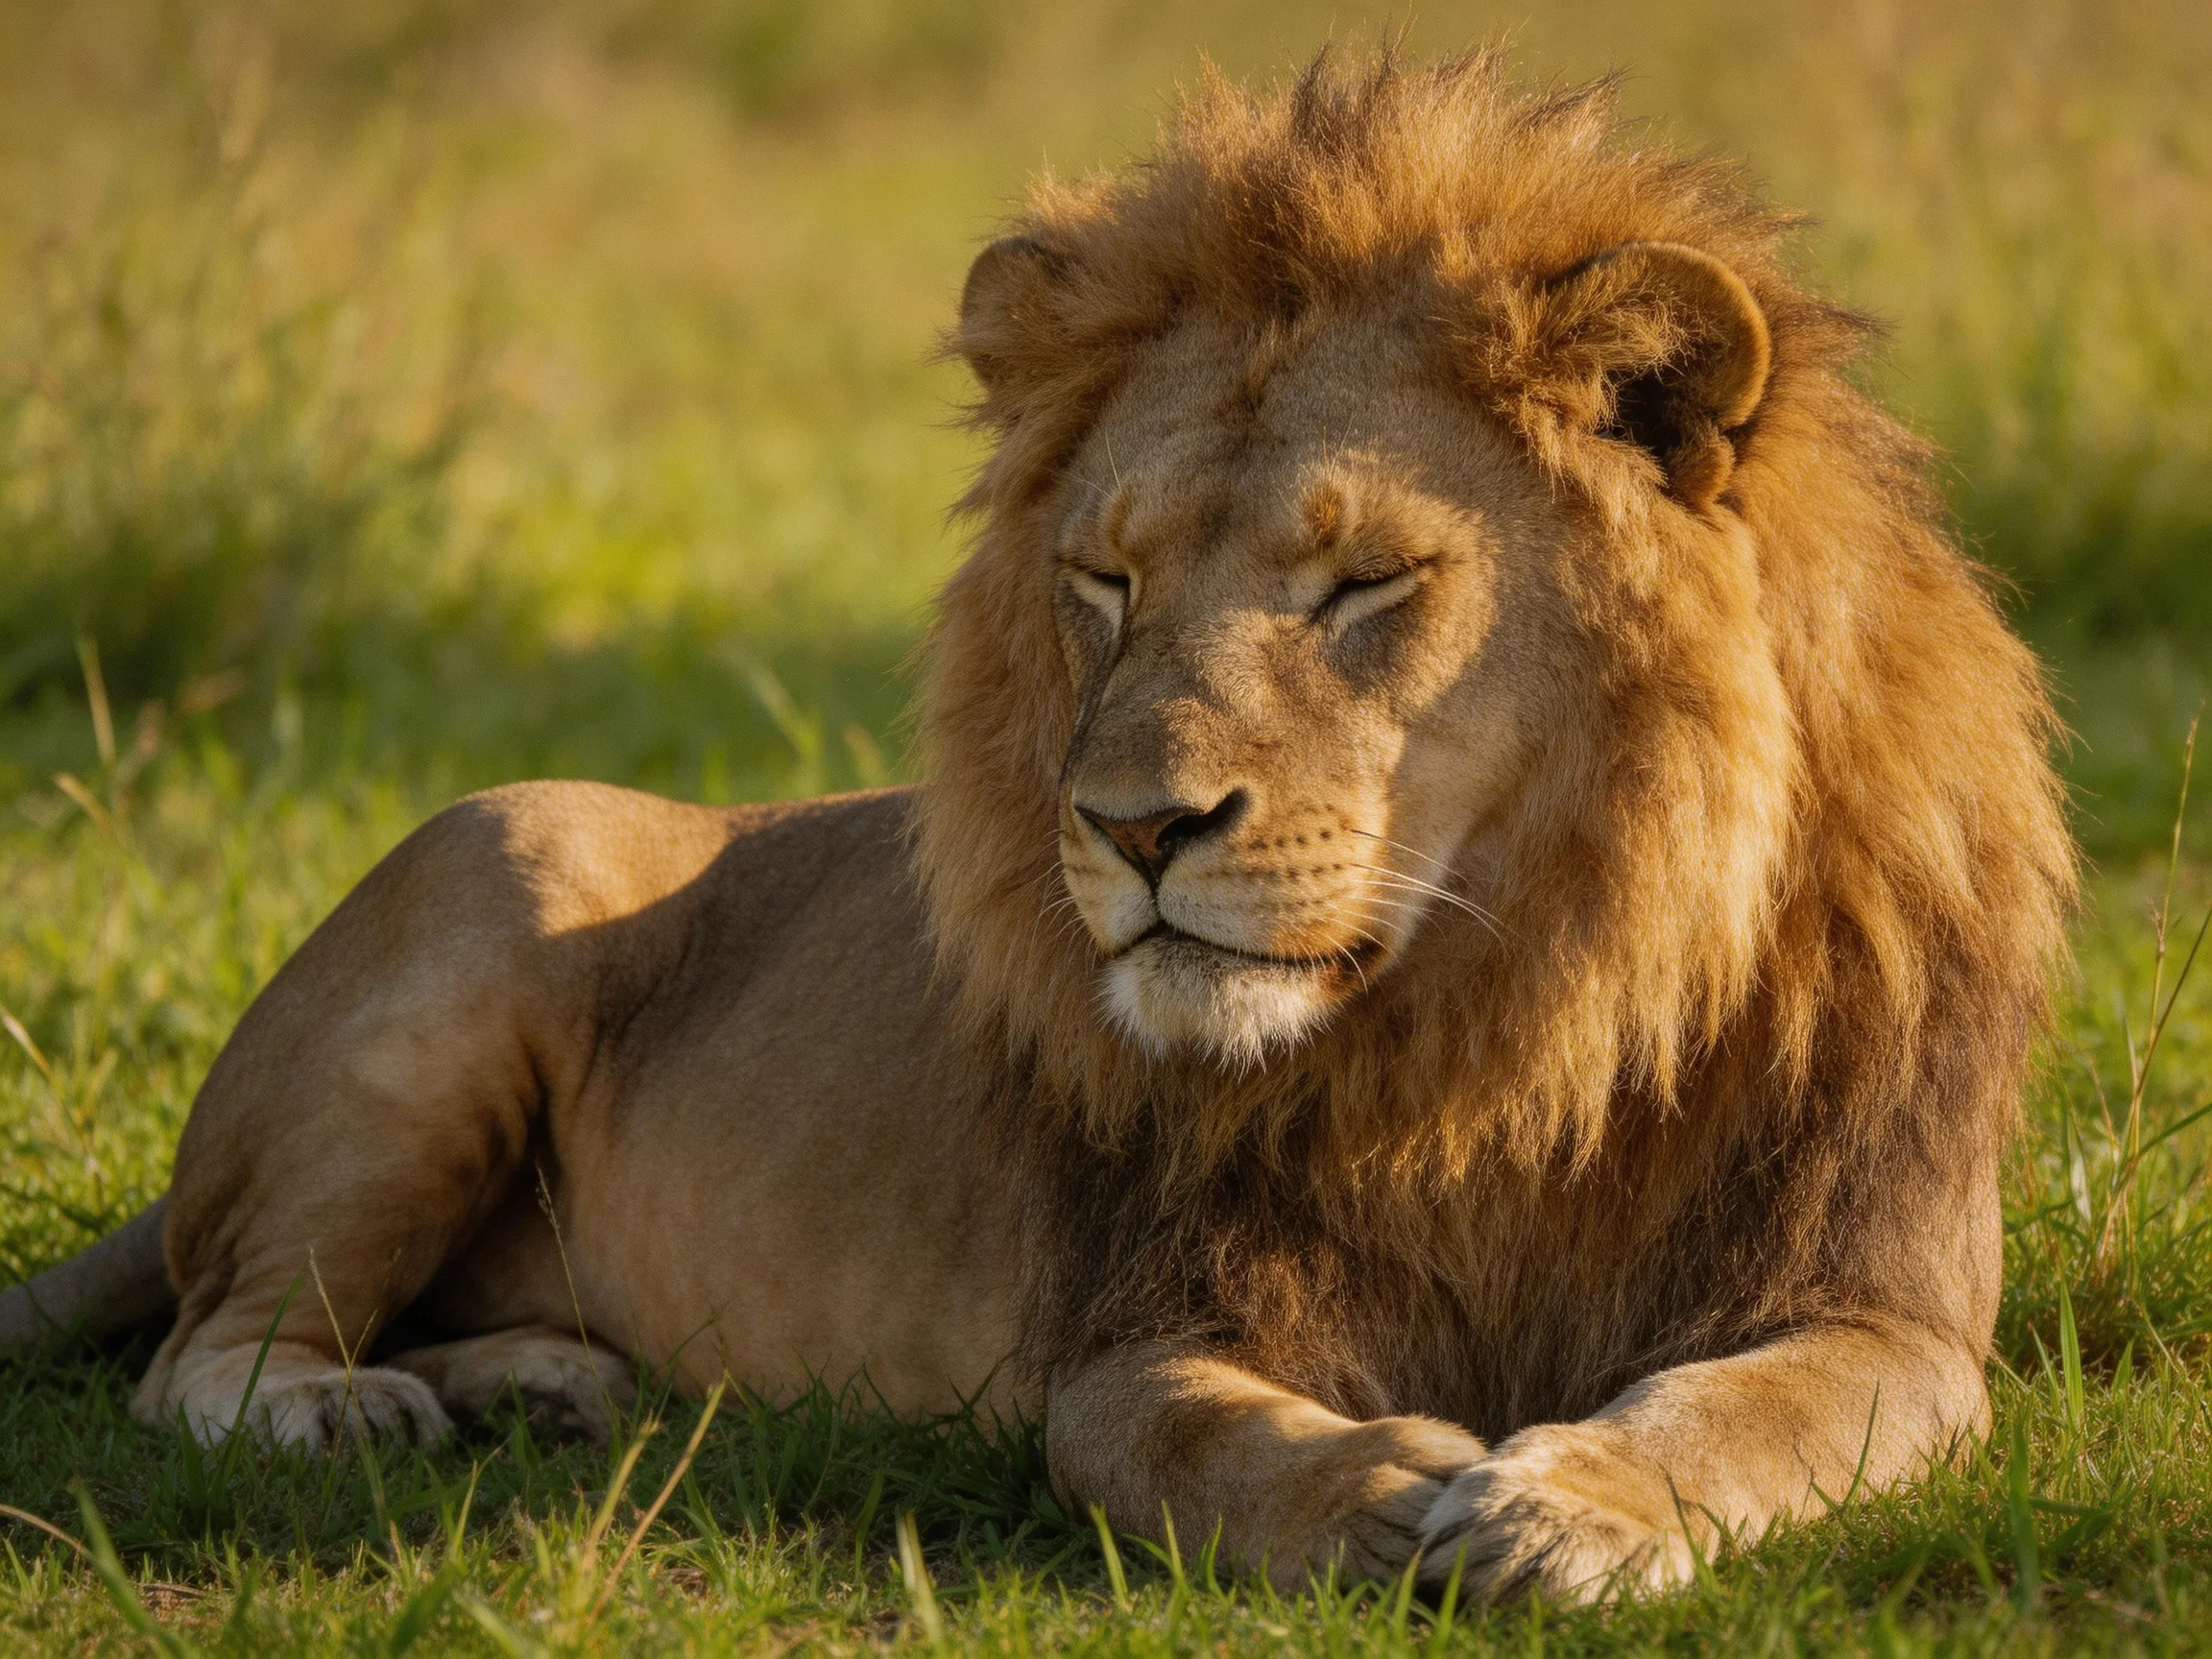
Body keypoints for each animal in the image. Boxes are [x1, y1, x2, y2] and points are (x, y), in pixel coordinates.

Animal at [0, 49, 2073, 1602]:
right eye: (1106, 581)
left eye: (1363, 583)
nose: (1137, 826)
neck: (1519, 1009)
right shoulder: (1132, 1320)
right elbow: (1174, 1433)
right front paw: (1376, 1494)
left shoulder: (1888, 1310)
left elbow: (1747, 1410)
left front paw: (1573, 1503)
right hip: (474, 888)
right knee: (200, 1350)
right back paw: (347, 1407)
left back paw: (548, 1388)